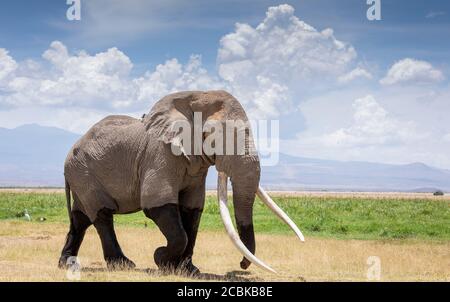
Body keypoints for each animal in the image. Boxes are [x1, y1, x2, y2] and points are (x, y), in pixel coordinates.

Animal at [56, 89, 302, 274]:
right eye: (211, 133)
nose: (241, 265)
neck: (194, 96)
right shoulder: (159, 154)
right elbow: (157, 206)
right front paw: (161, 259)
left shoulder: (196, 167)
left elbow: (192, 211)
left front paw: (188, 270)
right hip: (84, 172)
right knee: (102, 215)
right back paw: (123, 265)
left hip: (82, 176)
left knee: (80, 219)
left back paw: (66, 264)